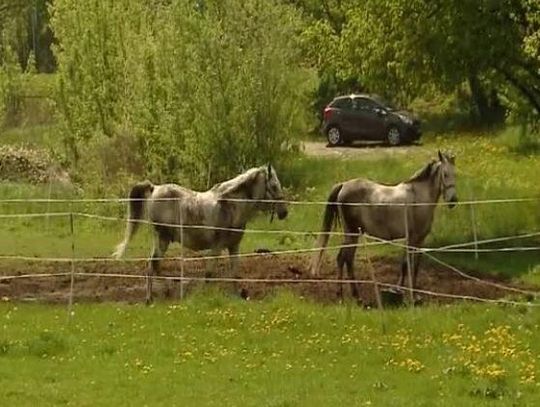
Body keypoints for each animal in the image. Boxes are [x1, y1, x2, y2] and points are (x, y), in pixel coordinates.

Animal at [310, 151, 458, 302]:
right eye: (445, 174)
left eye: (455, 174)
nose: (453, 201)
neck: (419, 198)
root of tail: (344, 185)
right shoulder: (412, 238)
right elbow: (407, 265)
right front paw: (404, 293)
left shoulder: (420, 240)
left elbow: (414, 266)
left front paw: (413, 294)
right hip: (352, 233)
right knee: (343, 258)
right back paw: (346, 295)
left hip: (353, 235)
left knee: (346, 259)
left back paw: (350, 295)